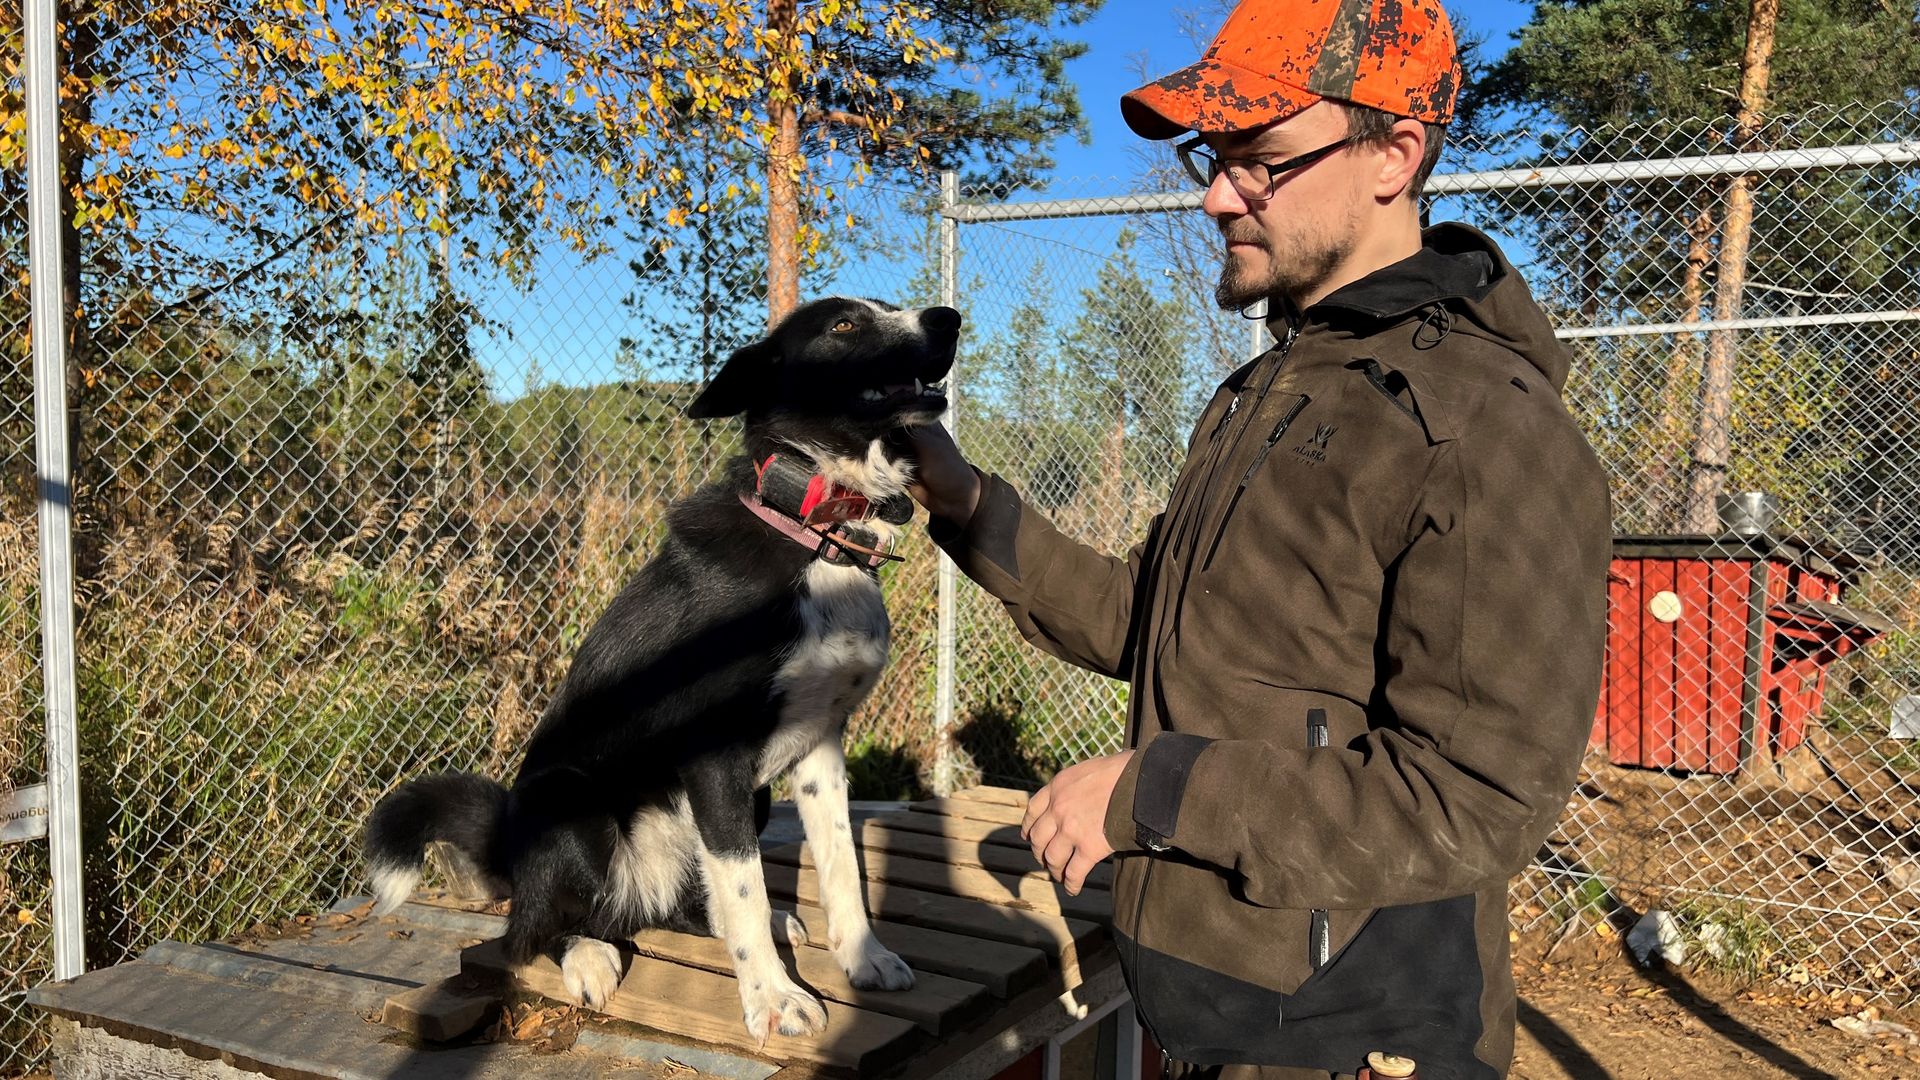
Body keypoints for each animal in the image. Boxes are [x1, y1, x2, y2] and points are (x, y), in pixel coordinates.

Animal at [363, 296, 961, 1041]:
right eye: (845, 325)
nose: (949, 320)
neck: (815, 529)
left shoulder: (820, 747)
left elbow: (840, 867)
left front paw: (863, 957)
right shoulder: (714, 757)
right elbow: (743, 884)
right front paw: (772, 998)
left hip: (739, 805)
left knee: (679, 903)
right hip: (572, 803)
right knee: (528, 933)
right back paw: (587, 954)